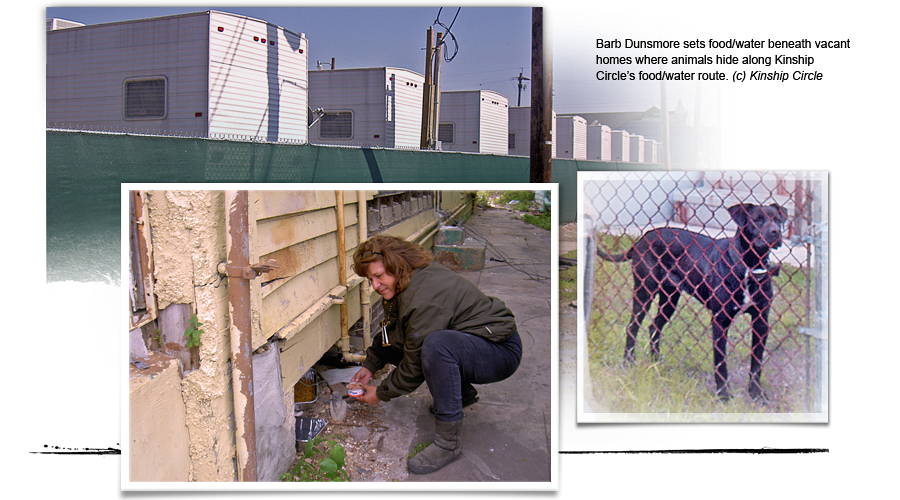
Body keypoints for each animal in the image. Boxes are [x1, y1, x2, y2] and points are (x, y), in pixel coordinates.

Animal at [600, 203, 784, 402]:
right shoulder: (720, 321)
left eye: (778, 220)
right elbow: (720, 362)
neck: (750, 267)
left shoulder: (761, 321)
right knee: (632, 326)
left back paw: (655, 361)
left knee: (654, 326)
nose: (776, 232)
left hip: (670, 298)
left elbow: (756, 363)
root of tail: (643, 238)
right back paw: (628, 362)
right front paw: (723, 395)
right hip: (644, 292)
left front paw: (756, 393)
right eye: (757, 219)